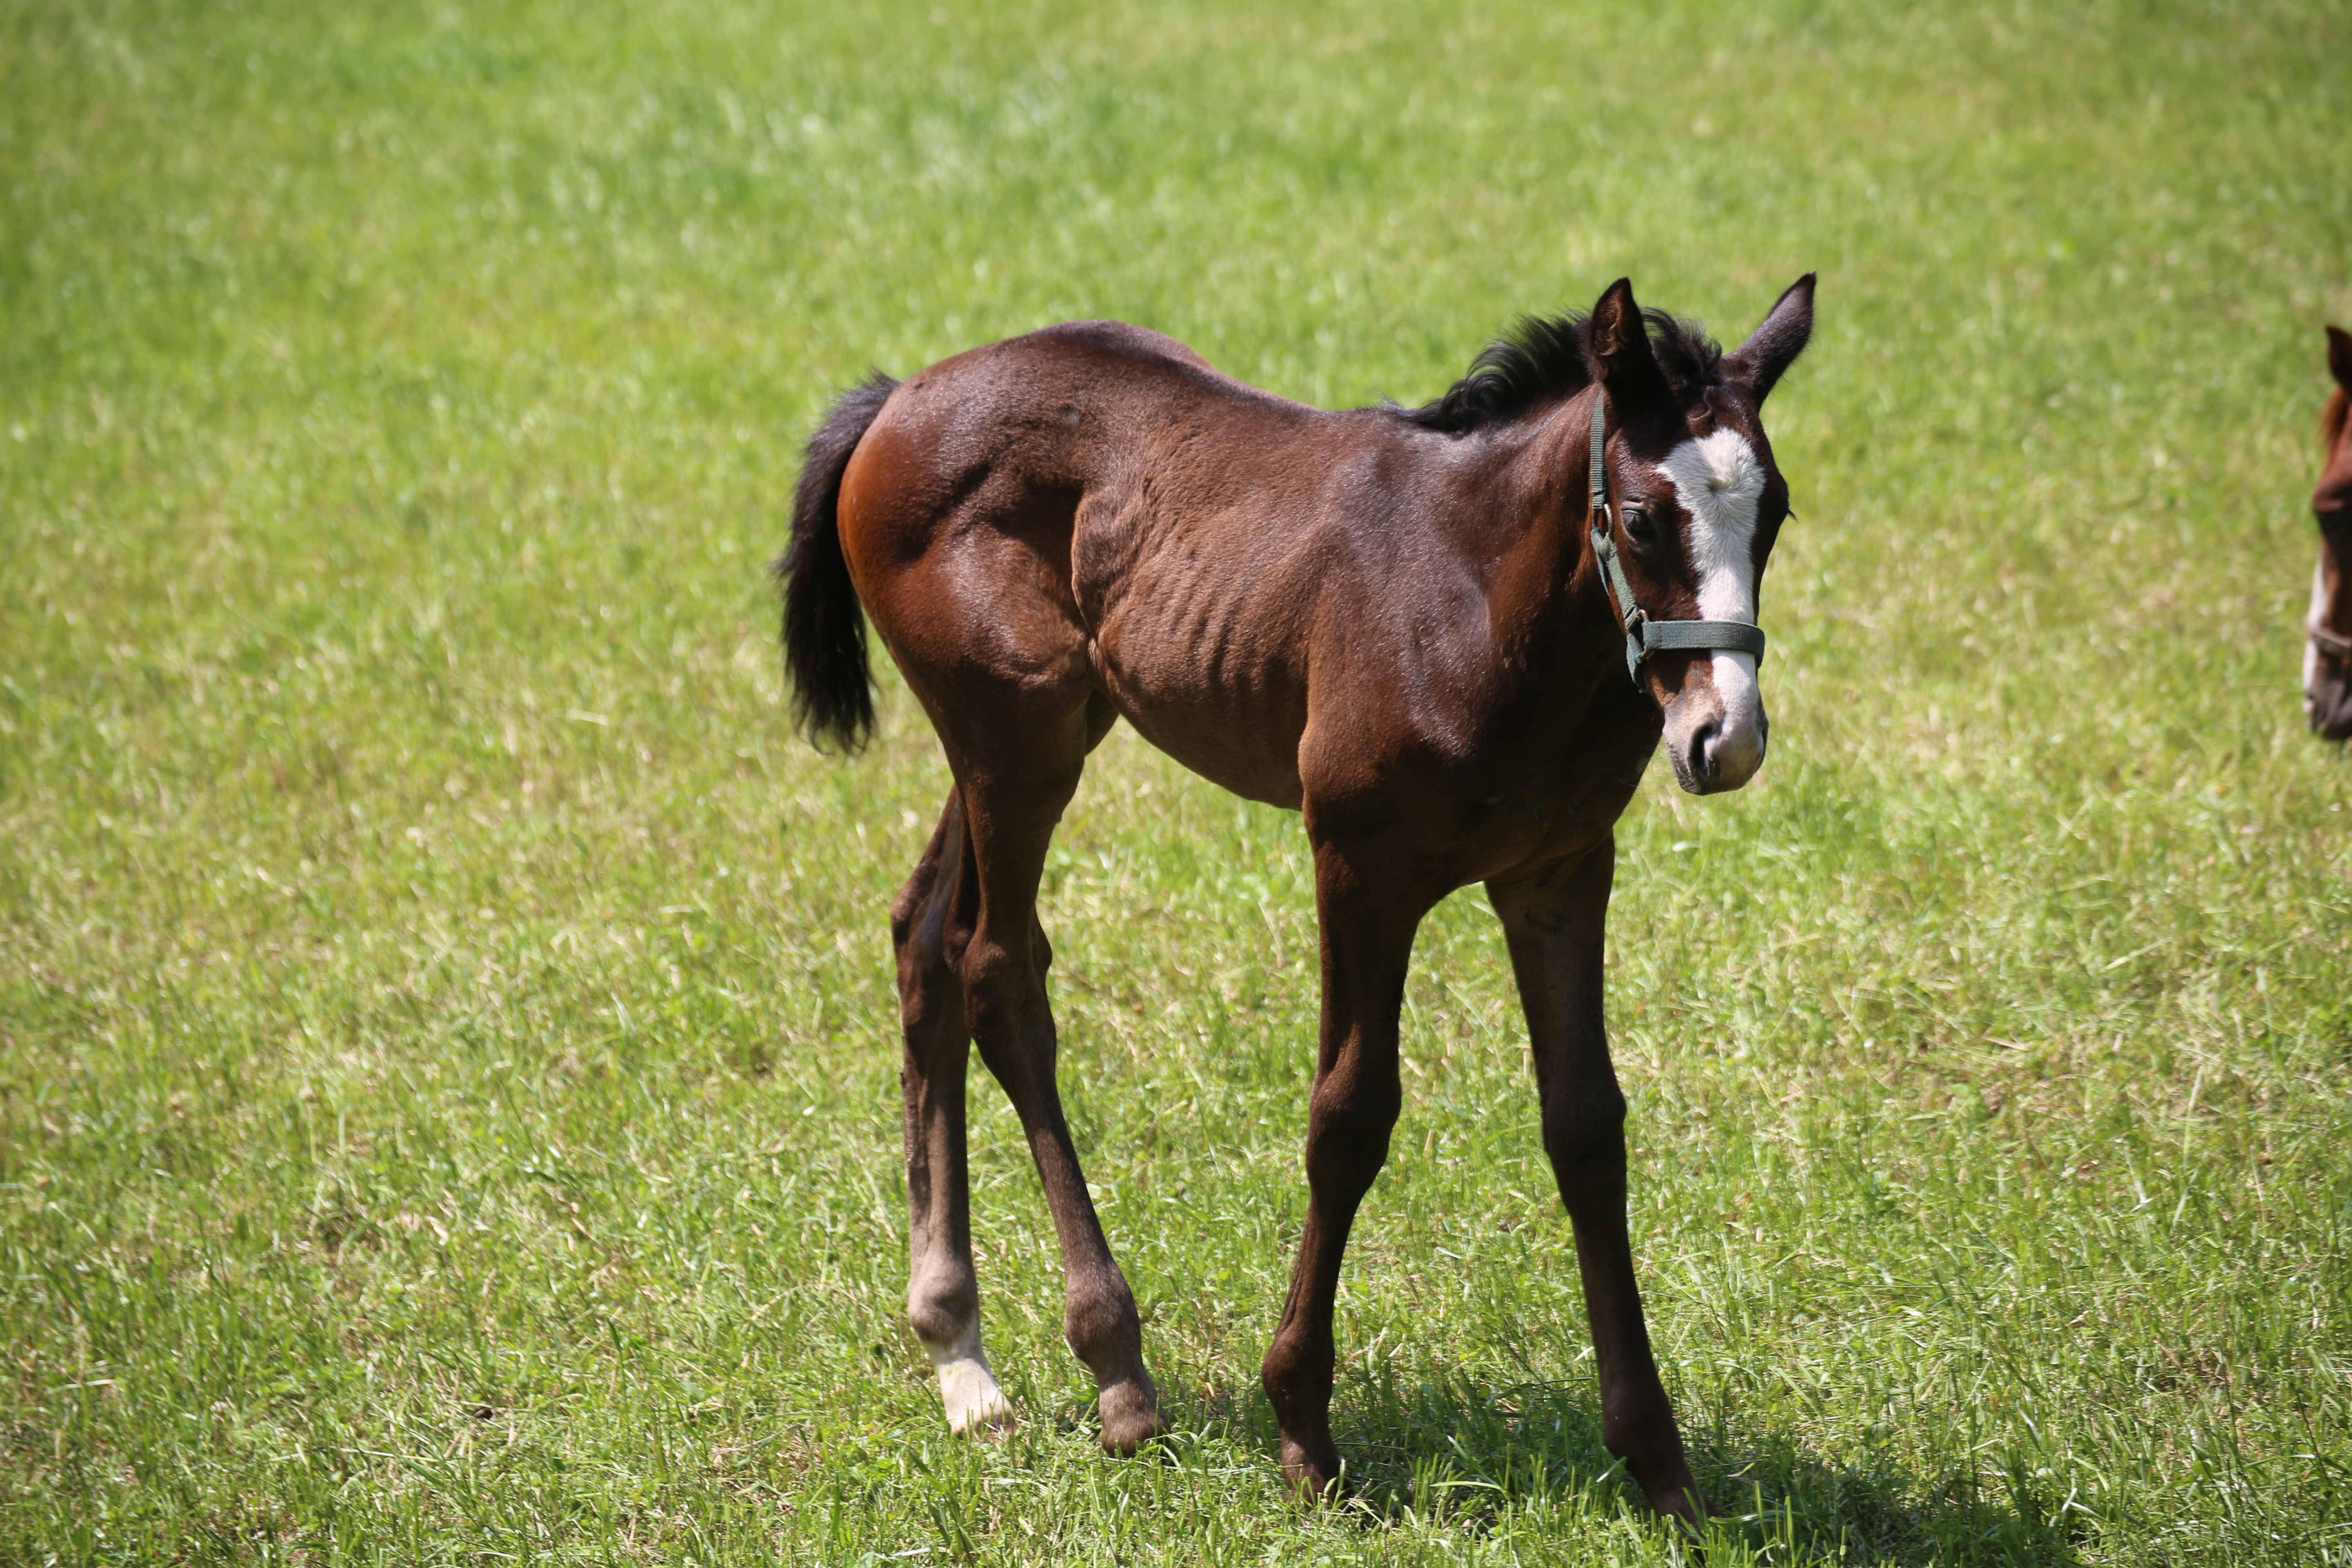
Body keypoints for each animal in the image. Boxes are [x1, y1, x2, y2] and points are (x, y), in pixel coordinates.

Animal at [781, 276, 1806, 1523]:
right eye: (1650, 518)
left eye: (1775, 512)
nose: (1725, 737)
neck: (1480, 598)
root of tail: (897, 399)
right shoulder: (1358, 864)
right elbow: (1349, 1117)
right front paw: (1304, 1432)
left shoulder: (1557, 872)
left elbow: (1586, 1126)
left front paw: (1659, 1462)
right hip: (1014, 736)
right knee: (996, 969)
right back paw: (1116, 1369)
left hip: (1037, 731)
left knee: (924, 938)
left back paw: (959, 1357)